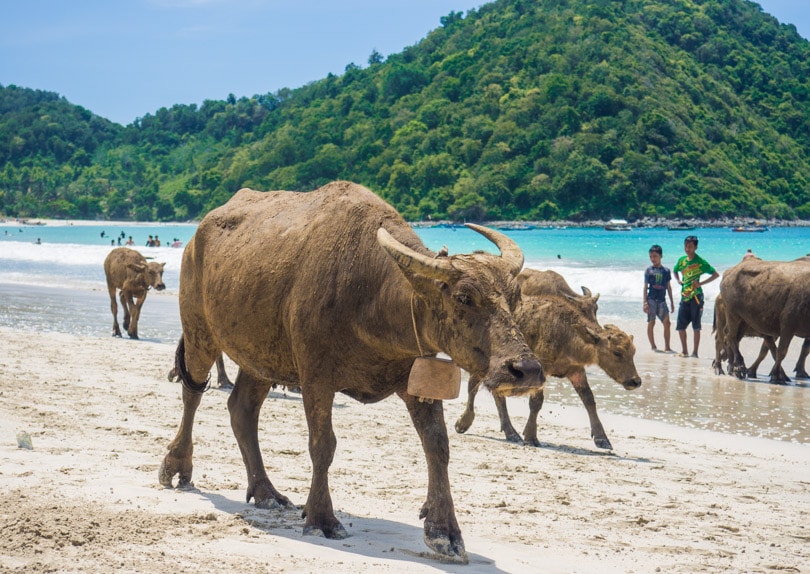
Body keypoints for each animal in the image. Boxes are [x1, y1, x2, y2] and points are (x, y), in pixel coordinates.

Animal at [156, 182, 544, 564]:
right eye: (464, 298)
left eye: (515, 297)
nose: (525, 369)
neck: (372, 296)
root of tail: (196, 239)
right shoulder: (315, 377)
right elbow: (322, 444)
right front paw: (321, 518)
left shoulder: (417, 378)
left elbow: (437, 445)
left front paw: (444, 531)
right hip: (200, 331)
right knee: (193, 392)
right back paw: (176, 467)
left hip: (261, 356)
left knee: (242, 409)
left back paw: (266, 492)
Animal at [454, 290, 636, 452]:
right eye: (617, 352)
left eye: (633, 351)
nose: (635, 381)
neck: (565, 332)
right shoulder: (541, 371)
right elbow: (536, 402)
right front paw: (530, 437)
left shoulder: (576, 371)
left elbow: (589, 400)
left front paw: (602, 439)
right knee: (478, 388)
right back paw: (475, 425)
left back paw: (504, 431)